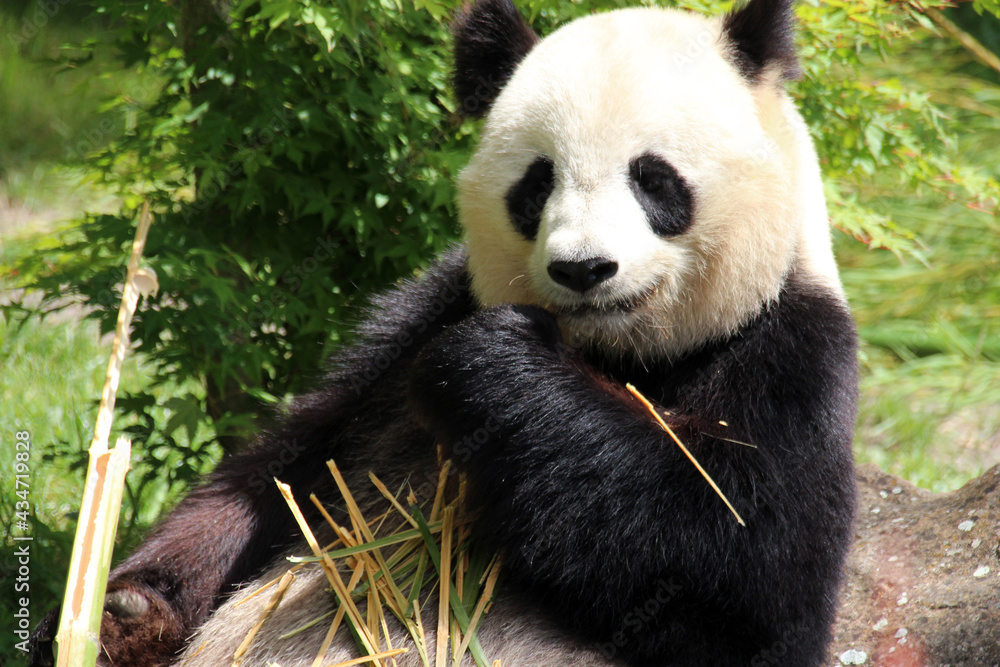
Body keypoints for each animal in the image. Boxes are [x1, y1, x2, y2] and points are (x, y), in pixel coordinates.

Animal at [31, 0, 858, 665]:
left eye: (654, 179)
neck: (621, 353)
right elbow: (276, 476)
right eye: (537, 183)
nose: (583, 269)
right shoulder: (410, 326)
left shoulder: (789, 353)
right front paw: (119, 612)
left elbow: (741, 584)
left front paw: (498, 367)